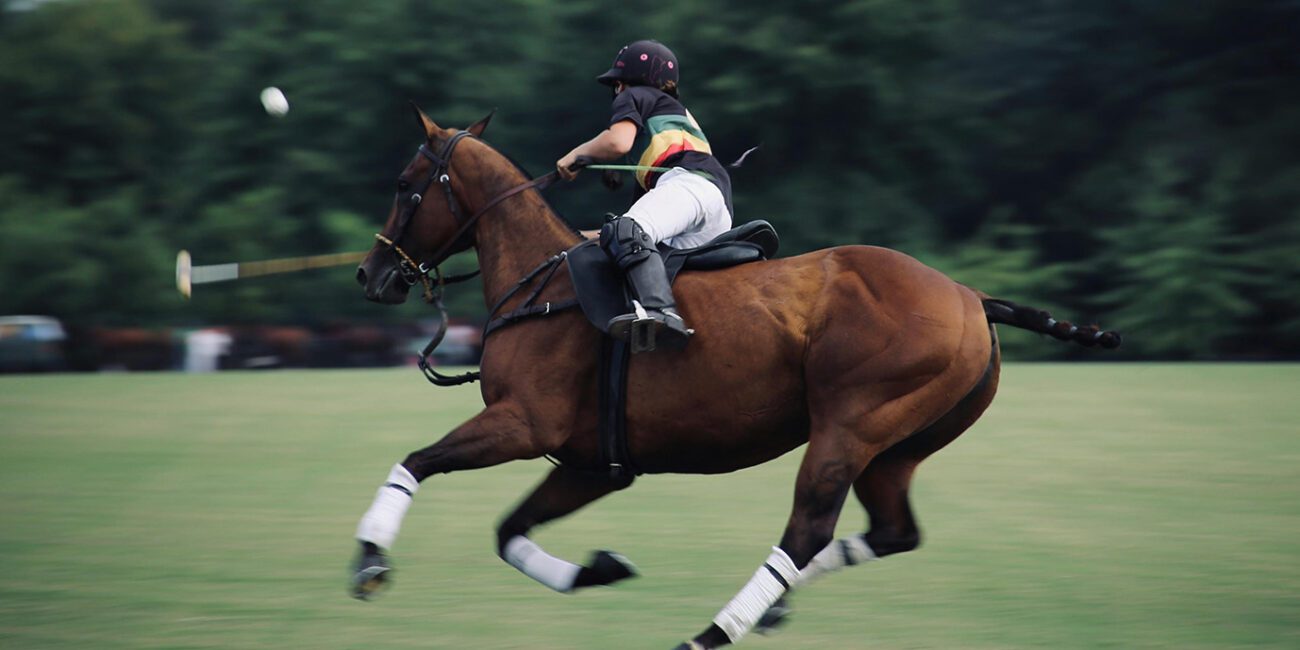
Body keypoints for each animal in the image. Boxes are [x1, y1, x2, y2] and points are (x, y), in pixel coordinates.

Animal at [351, 106, 1120, 649]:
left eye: (403, 185)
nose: (371, 274)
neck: (539, 282)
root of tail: (971, 296)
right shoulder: (593, 461)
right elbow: (509, 530)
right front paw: (601, 568)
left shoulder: (523, 423)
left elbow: (416, 461)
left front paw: (368, 559)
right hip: (899, 444)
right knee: (893, 531)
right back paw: (775, 608)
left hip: (849, 426)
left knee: (807, 531)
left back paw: (709, 634)